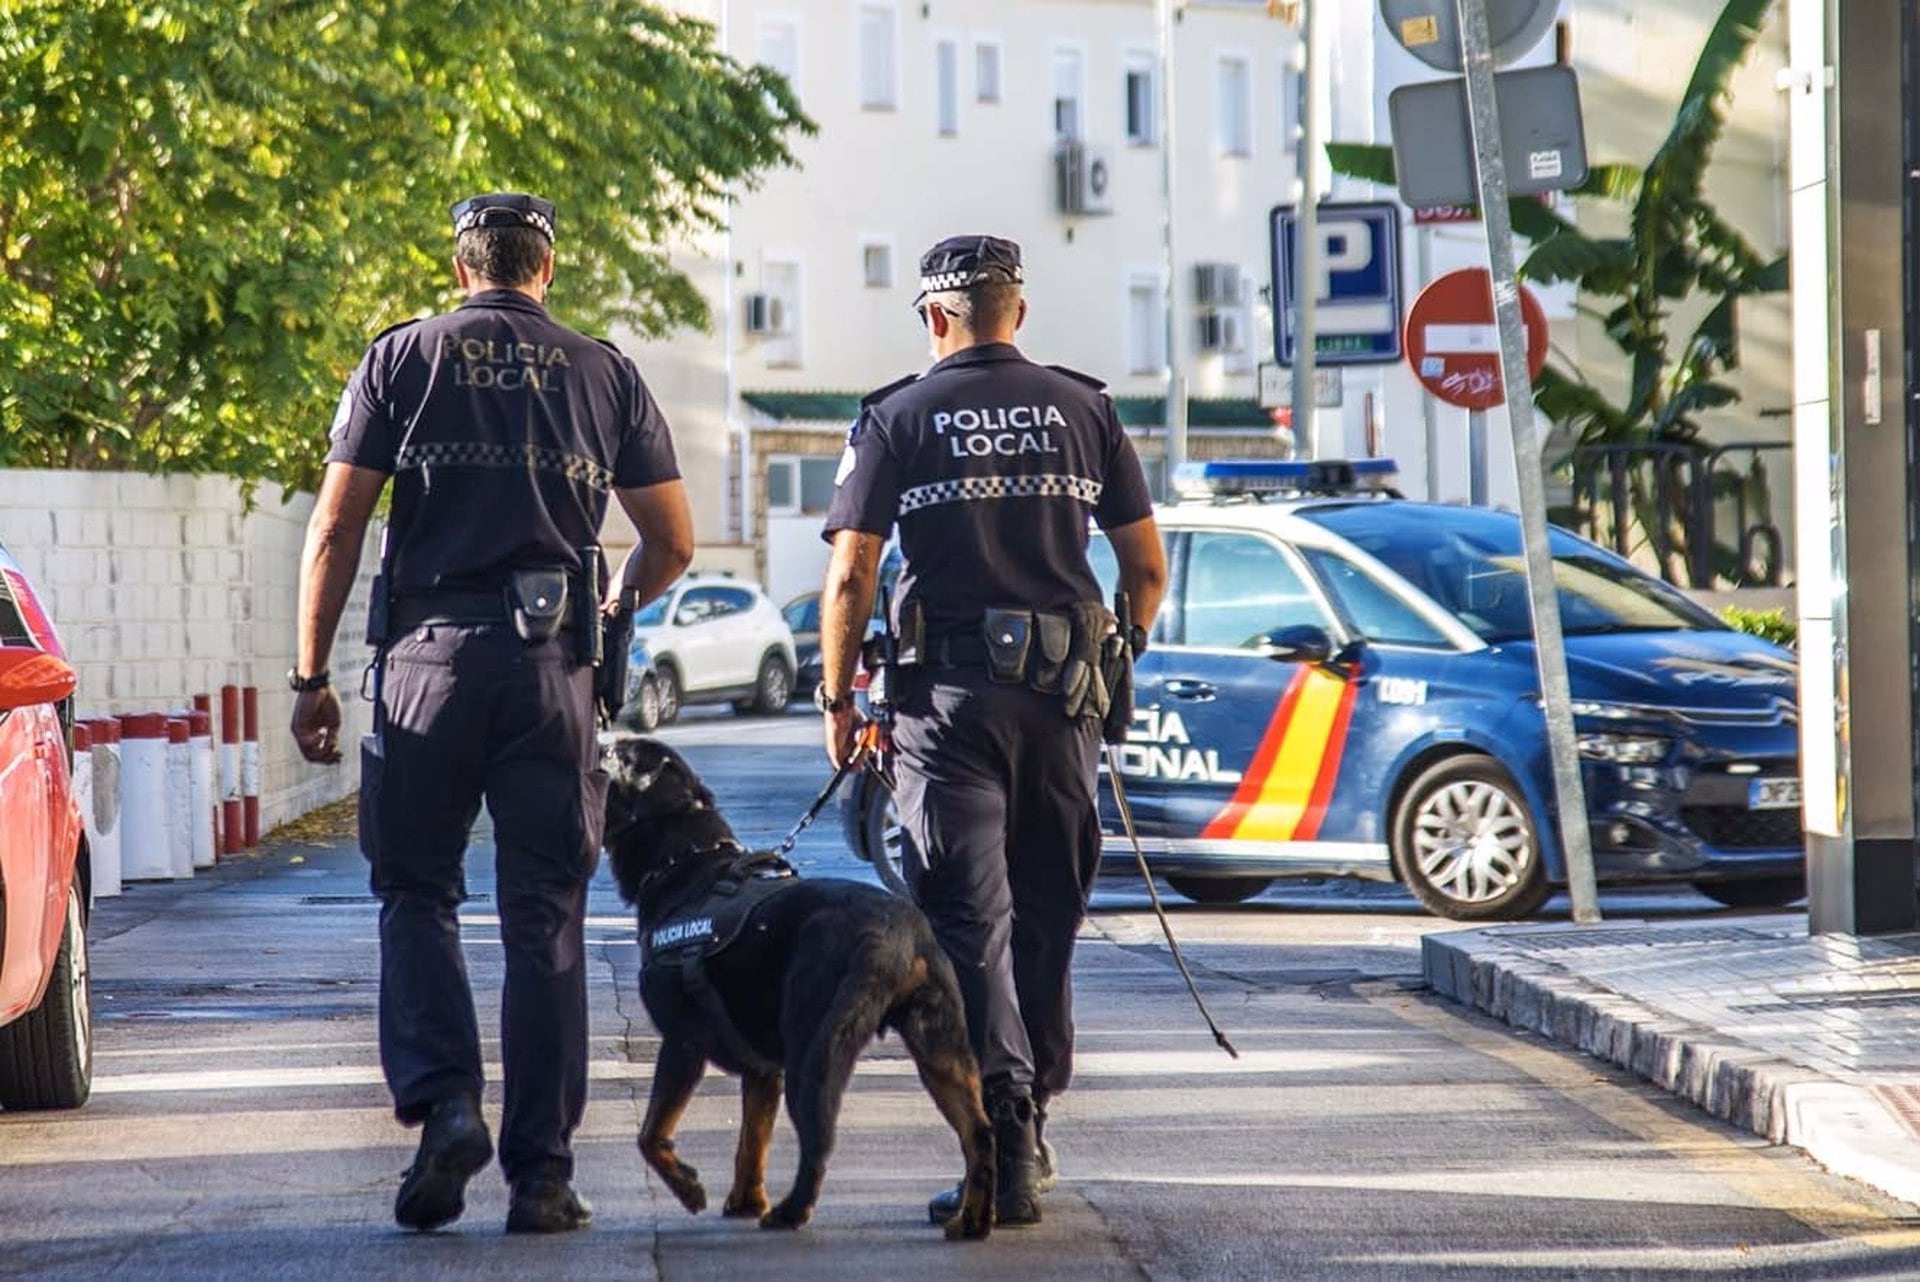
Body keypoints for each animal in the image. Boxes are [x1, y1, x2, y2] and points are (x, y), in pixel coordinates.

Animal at [602, 736, 998, 1235]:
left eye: (614, 756)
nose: (597, 745)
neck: (687, 862)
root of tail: (899, 934)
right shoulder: (761, 1070)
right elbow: (751, 1140)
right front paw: (746, 1200)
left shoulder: (681, 1042)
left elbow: (651, 1132)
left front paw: (689, 1187)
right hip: (941, 1046)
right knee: (978, 1132)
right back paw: (974, 1218)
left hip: (815, 1047)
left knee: (819, 1140)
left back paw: (793, 1210)